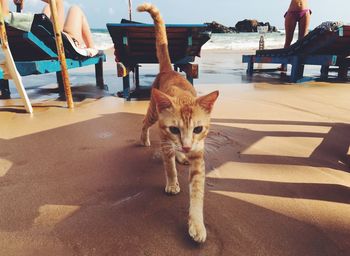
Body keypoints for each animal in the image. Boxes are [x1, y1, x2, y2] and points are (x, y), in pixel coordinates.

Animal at [137, 3, 217, 243]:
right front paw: (172, 183)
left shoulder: (198, 158)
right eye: (174, 129)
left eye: (198, 129)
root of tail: (168, 69)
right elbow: (169, 167)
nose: (187, 146)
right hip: (153, 113)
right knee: (144, 123)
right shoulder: (166, 140)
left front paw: (197, 224)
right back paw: (145, 139)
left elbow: (197, 193)